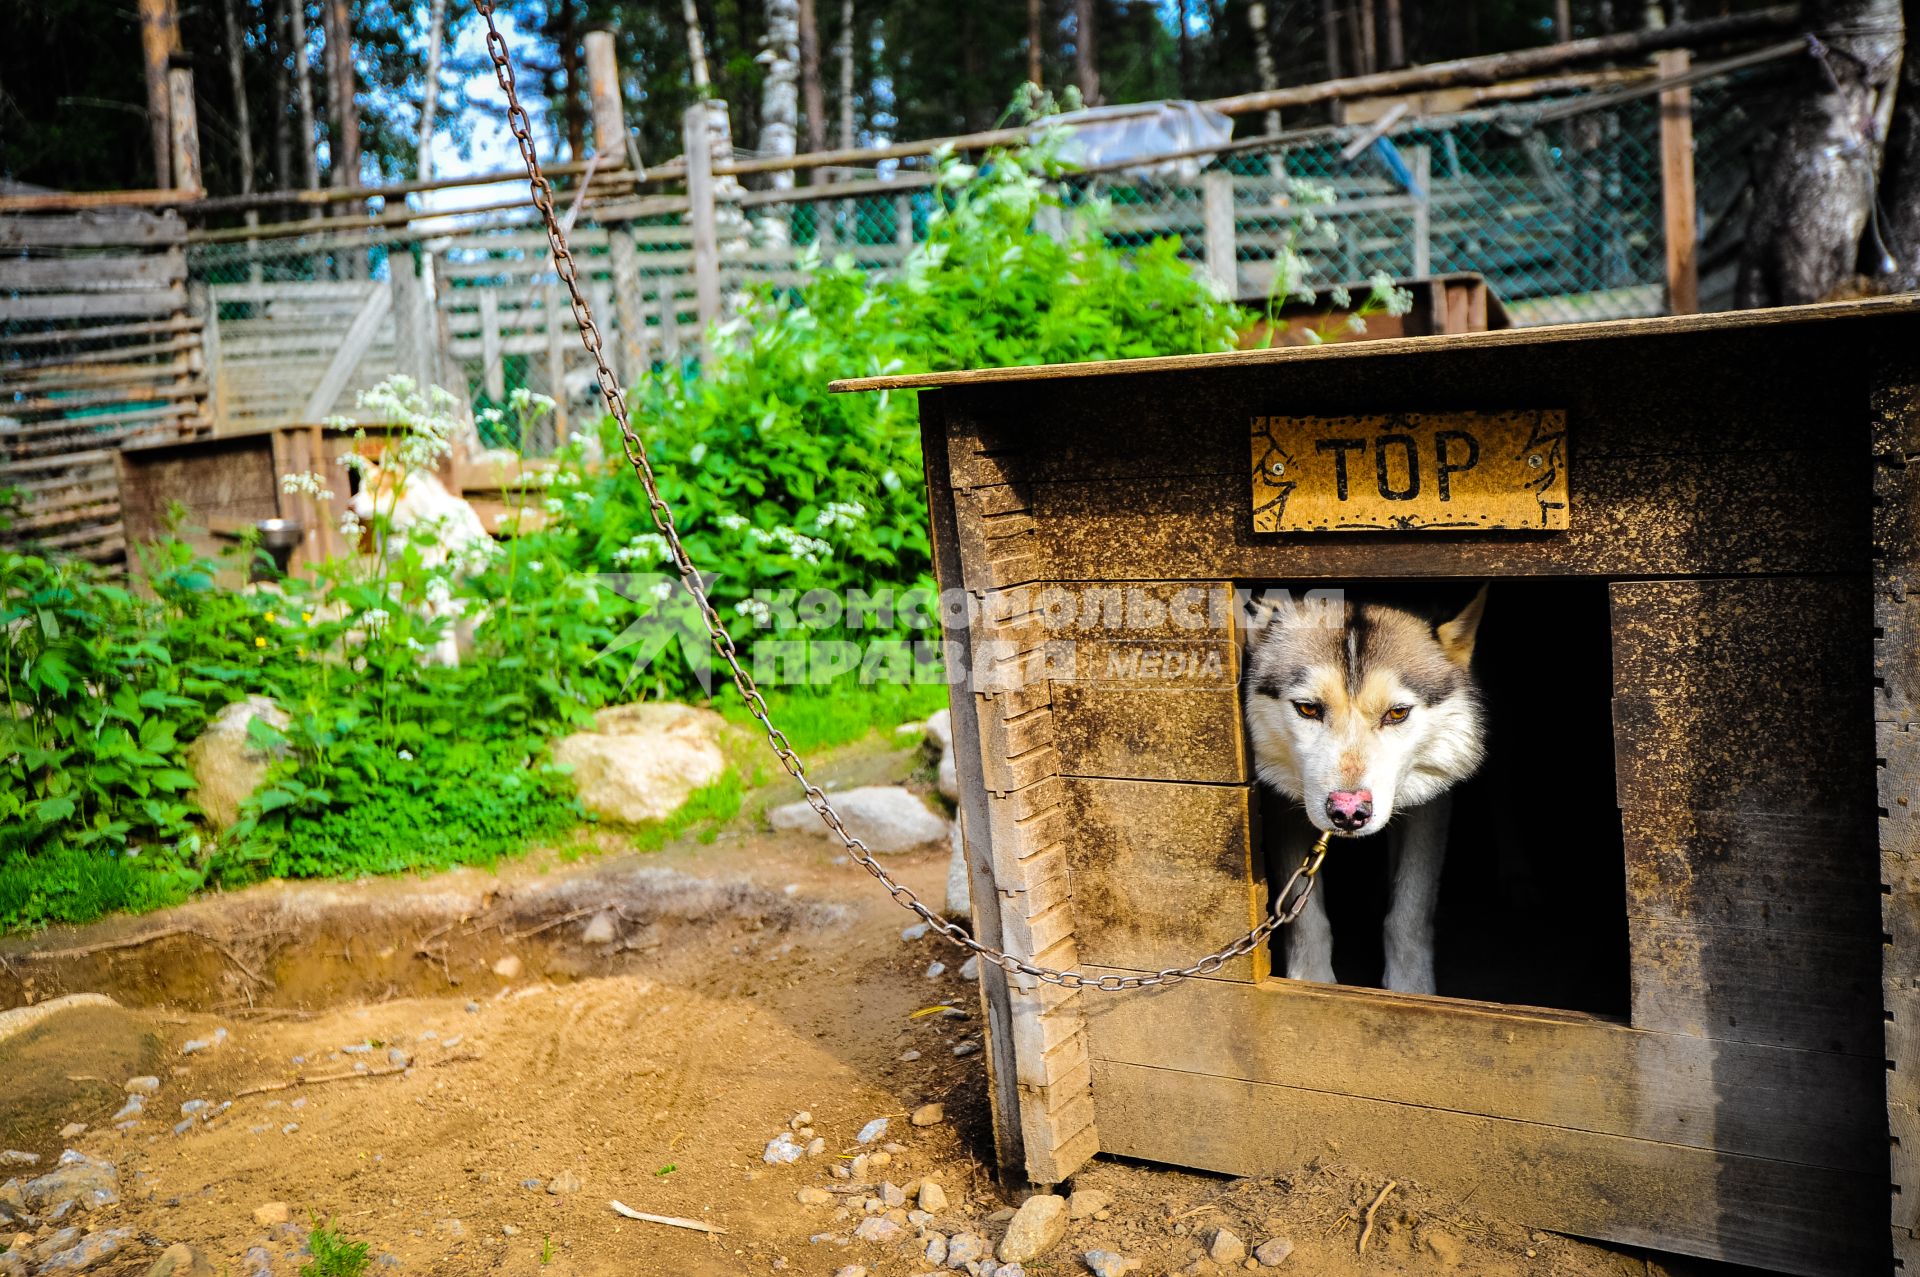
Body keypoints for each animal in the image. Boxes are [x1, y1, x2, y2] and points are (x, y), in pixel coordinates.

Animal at [1236, 587, 1489, 998]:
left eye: (1398, 713)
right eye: (1307, 708)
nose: (1348, 812)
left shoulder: (1429, 804)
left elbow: (1409, 913)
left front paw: (1411, 991)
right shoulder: (1283, 808)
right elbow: (1307, 915)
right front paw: (1310, 981)